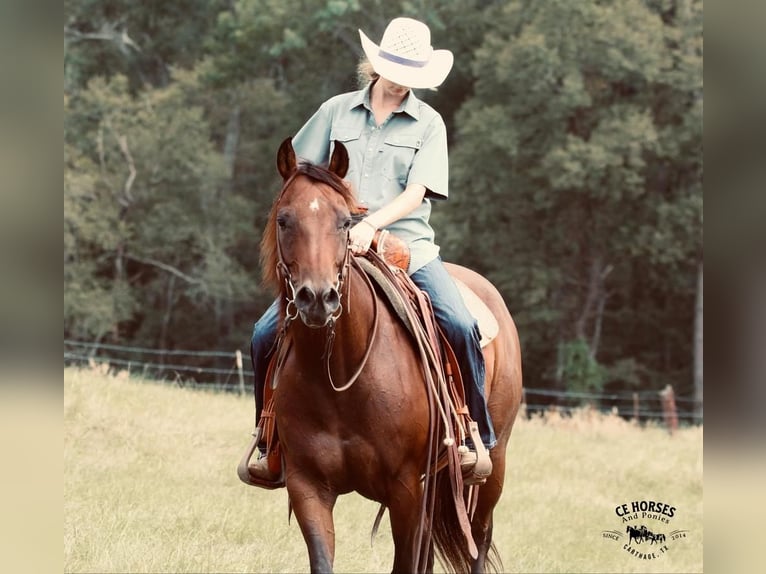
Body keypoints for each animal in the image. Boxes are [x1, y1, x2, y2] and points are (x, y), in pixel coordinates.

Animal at [249, 140, 524, 574]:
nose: (317, 298)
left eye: (345, 223)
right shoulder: (307, 486)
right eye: (283, 220)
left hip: (491, 471)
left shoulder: (405, 489)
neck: (340, 374)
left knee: (478, 540)